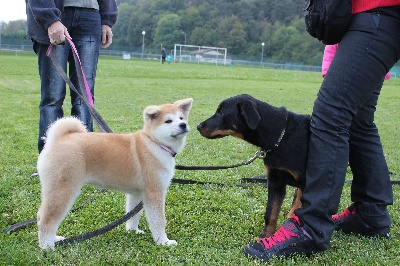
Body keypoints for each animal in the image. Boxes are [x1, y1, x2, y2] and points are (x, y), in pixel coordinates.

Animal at [36, 97, 193, 249]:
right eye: (168, 121)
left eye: (181, 118)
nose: (183, 125)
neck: (154, 143)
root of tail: (57, 140)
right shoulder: (154, 192)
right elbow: (158, 220)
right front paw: (163, 242)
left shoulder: (137, 193)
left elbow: (133, 216)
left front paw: (132, 231)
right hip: (64, 190)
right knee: (46, 220)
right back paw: (47, 247)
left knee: (40, 215)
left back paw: (55, 239)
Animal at [198, 93, 310, 239]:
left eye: (221, 112)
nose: (198, 126)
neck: (280, 137)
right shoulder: (275, 182)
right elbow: (271, 213)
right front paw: (264, 236)